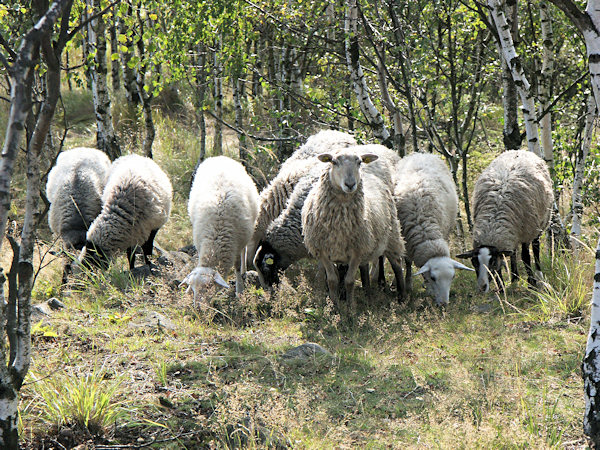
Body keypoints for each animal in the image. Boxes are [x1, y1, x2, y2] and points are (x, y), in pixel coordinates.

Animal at [182, 156, 258, 300]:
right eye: (194, 289)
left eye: (208, 288)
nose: (197, 306)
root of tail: (220, 157)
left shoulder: (236, 245)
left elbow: (237, 267)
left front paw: (239, 290)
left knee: (244, 251)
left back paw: (245, 270)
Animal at [300, 149, 408, 312]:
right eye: (333, 162)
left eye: (359, 162)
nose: (350, 184)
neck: (341, 220)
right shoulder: (323, 251)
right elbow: (332, 280)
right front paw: (334, 307)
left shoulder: (357, 251)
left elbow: (349, 281)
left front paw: (351, 309)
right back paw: (368, 292)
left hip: (392, 236)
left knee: (397, 264)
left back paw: (401, 297)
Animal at [394, 152, 474, 306]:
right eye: (433, 278)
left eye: (452, 277)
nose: (444, 304)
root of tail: (421, 153)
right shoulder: (405, 241)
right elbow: (407, 264)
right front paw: (408, 285)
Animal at [458, 149, 556, 294]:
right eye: (474, 262)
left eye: (492, 262)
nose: (482, 288)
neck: (492, 224)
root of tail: (519, 150)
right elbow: (504, 260)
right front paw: (501, 288)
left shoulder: (526, 233)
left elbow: (526, 257)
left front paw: (531, 283)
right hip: (514, 232)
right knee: (513, 252)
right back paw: (515, 277)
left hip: (539, 224)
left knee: (535, 248)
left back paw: (538, 275)